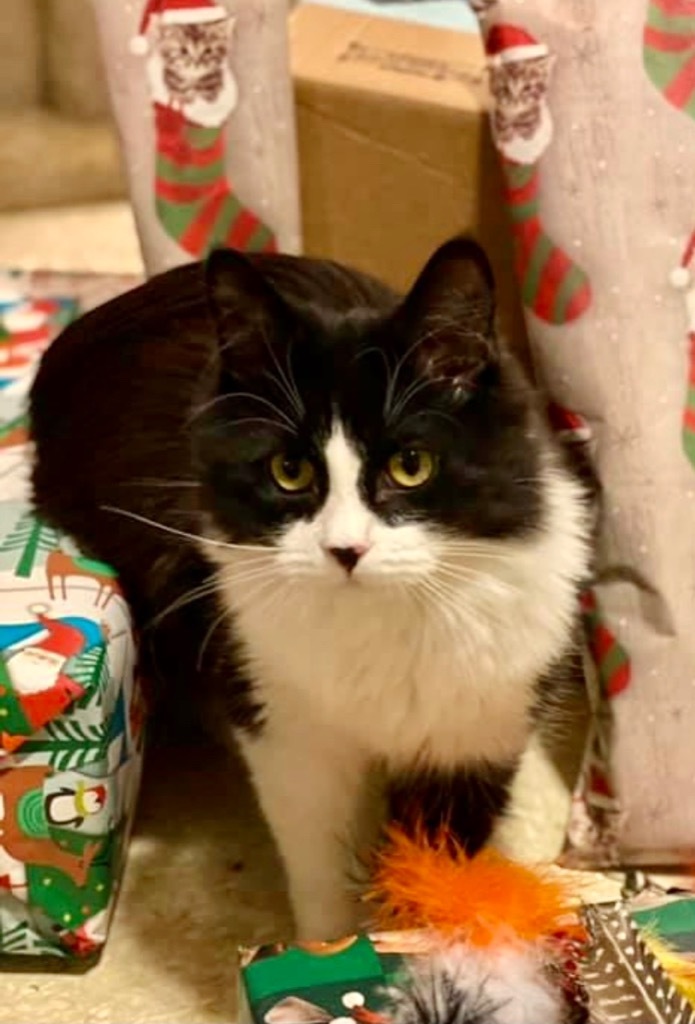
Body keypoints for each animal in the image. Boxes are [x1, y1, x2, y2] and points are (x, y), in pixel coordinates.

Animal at [28, 235, 593, 937]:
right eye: (290, 470)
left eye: (411, 465)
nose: (346, 550)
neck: (387, 621)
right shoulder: (288, 738)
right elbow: (320, 872)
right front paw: (331, 948)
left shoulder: (471, 742)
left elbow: (437, 863)